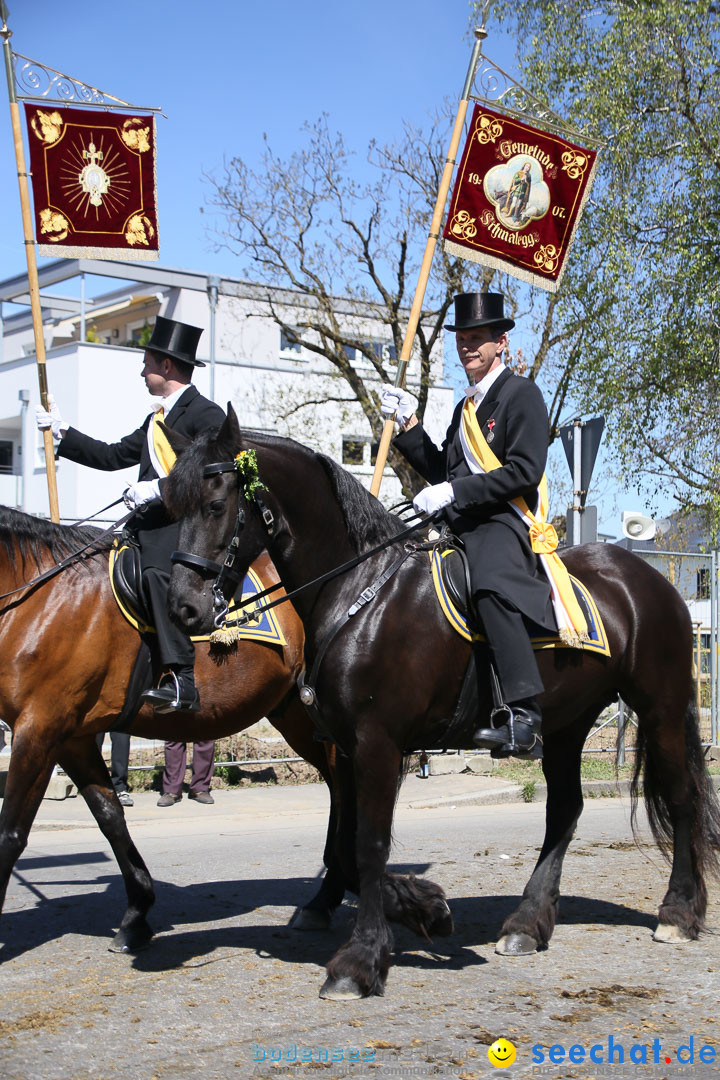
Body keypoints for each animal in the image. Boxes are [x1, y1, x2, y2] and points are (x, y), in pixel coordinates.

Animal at [162, 408, 720, 997]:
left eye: (216, 505)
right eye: (171, 509)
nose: (182, 609)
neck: (361, 590)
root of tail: (647, 577)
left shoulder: (377, 744)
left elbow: (366, 845)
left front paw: (359, 961)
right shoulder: (347, 748)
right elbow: (346, 847)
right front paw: (425, 909)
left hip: (659, 707)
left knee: (682, 799)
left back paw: (678, 913)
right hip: (568, 725)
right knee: (565, 809)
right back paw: (528, 923)